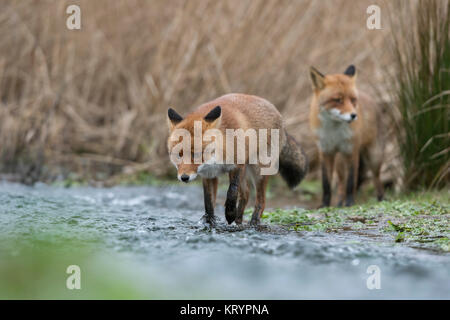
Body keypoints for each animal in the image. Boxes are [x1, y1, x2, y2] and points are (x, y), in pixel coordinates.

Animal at [167, 94, 308, 226]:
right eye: (178, 154)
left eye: (196, 154)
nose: (184, 177)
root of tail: (279, 115)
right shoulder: (209, 174)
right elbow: (208, 201)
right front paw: (209, 221)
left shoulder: (237, 165)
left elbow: (232, 191)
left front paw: (229, 214)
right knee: (246, 194)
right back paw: (238, 219)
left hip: (258, 170)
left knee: (261, 200)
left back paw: (253, 221)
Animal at [310, 65, 386, 208]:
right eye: (337, 100)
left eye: (353, 100)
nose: (354, 115)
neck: (334, 131)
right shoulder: (325, 151)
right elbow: (326, 184)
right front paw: (325, 204)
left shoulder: (352, 150)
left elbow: (351, 182)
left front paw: (350, 203)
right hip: (340, 161)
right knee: (341, 184)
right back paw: (340, 202)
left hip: (374, 156)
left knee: (376, 179)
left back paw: (381, 199)